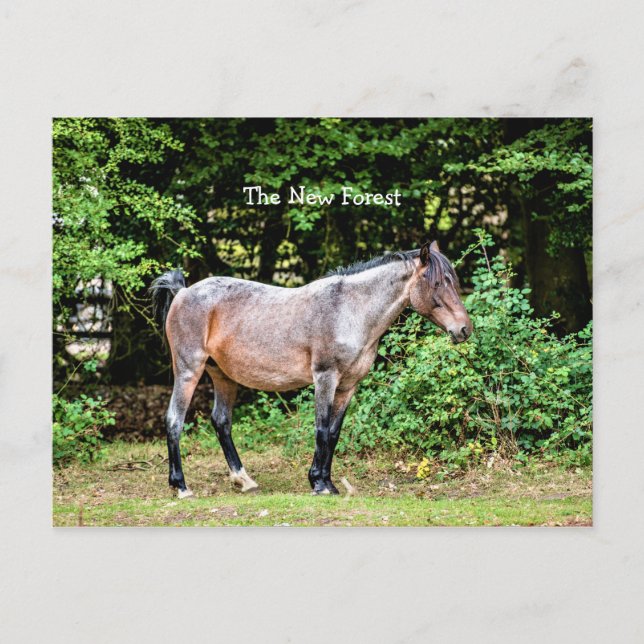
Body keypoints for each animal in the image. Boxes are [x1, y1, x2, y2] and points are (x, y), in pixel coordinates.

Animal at [149, 241, 472, 498]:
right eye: (438, 284)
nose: (464, 329)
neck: (349, 310)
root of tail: (183, 292)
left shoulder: (348, 386)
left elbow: (333, 433)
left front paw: (328, 482)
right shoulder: (325, 379)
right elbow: (320, 428)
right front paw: (318, 484)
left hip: (223, 376)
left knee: (221, 421)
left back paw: (244, 480)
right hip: (189, 371)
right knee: (175, 420)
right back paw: (181, 487)